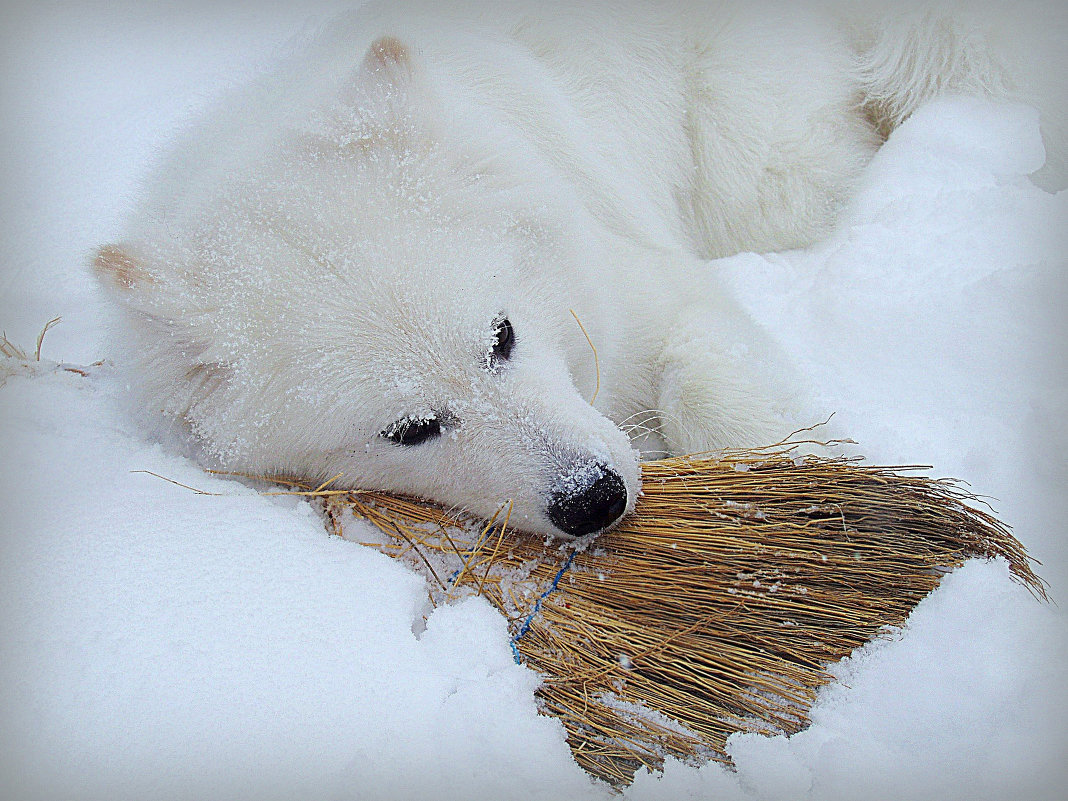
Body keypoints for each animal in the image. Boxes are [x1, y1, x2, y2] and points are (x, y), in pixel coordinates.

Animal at [96, 1, 1063, 540]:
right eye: (410, 428)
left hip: (761, 166)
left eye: (502, 335)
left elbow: (714, 391)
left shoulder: (647, 291)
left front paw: (806, 474)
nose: (593, 499)